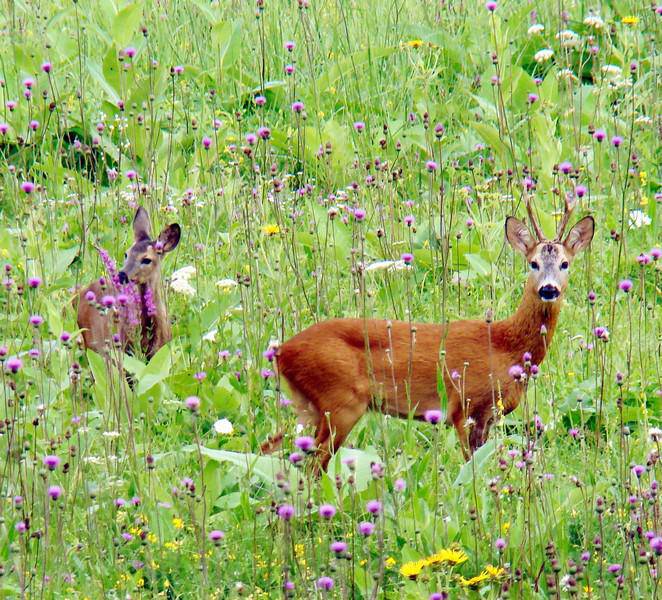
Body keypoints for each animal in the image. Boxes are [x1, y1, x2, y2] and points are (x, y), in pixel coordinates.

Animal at [264, 197, 596, 468]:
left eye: (565, 263)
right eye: (533, 263)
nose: (548, 289)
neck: (506, 346)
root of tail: (283, 351)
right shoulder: (466, 407)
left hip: (308, 407)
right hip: (339, 402)